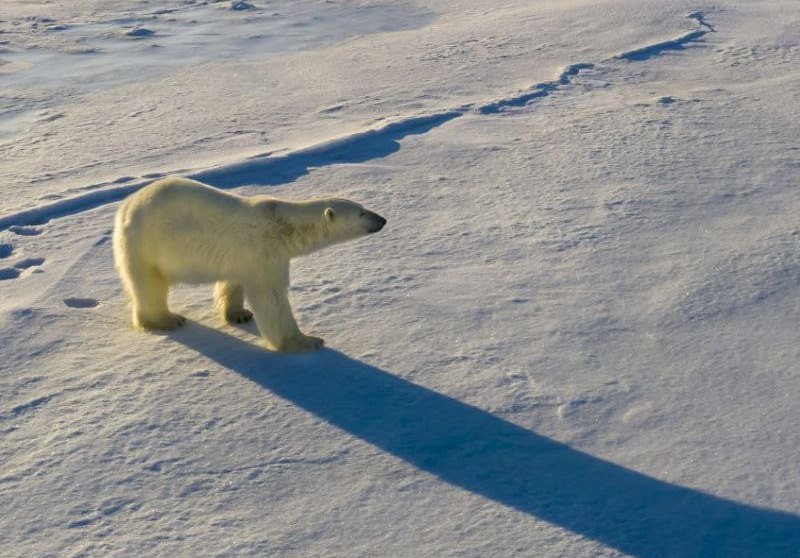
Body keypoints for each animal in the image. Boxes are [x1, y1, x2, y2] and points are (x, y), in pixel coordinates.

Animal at [113, 179, 388, 352]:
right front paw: (307, 341)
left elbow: (234, 281)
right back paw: (167, 320)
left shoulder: (243, 257)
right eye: (361, 213)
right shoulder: (265, 252)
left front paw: (239, 314)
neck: (284, 227)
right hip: (146, 243)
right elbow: (271, 299)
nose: (383, 219)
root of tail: (125, 206)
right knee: (150, 286)